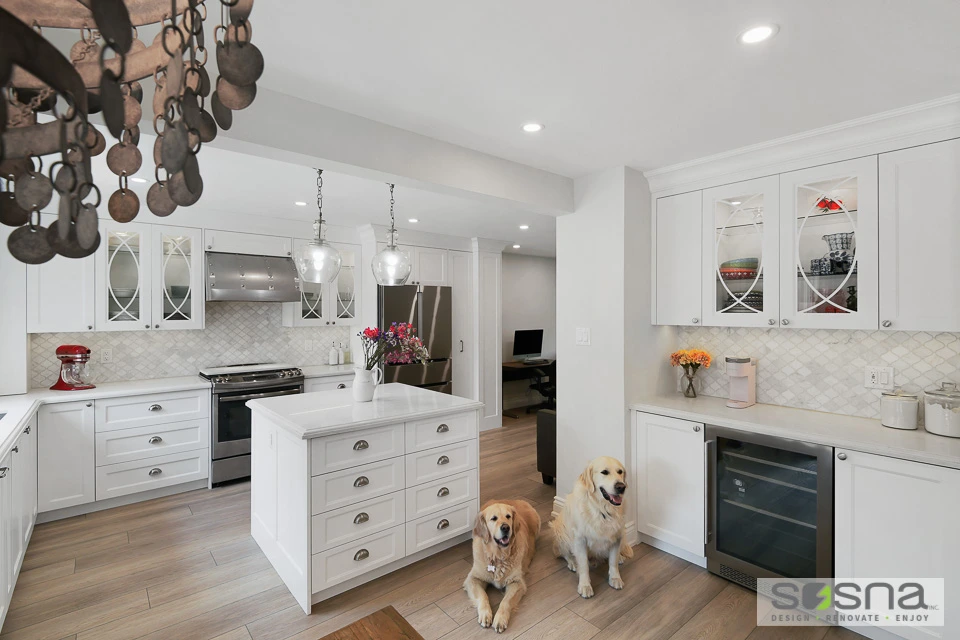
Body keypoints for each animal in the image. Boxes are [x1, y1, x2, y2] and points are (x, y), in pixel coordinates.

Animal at [464, 500, 540, 632]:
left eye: (508, 516)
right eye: (493, 518)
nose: (506, 527)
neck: (498, 557)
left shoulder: (516, 582)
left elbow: (505, 602)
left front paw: (500, 619)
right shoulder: (473, 578)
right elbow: (483, 596)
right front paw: (485, 615)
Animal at [552, 458, 632, 596]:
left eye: (620, 471)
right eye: (604, 472)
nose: (621, 487)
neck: (602, 509)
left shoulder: (617, 536)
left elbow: (613, 561)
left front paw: (615, 578)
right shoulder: (580, 540)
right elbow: (584, 565)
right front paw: (585, 586)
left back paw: (620, 557)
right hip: (560, 532)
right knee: (565, 553)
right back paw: (573, 562)